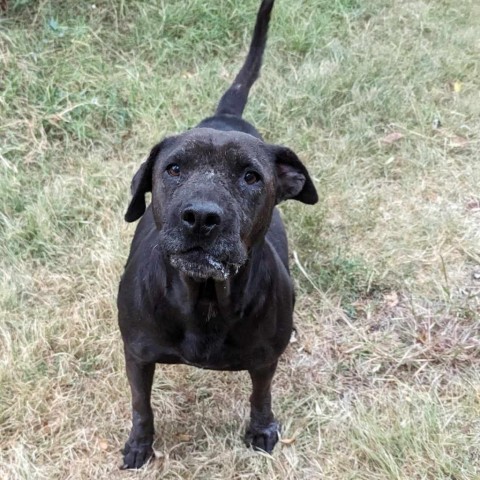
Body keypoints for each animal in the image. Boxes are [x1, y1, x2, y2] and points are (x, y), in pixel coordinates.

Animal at [117, 0, 318, 468]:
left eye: (251, 177)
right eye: (174, 168)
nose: (201, 217)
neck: (205, 299)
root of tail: (228, 117)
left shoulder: (264, 359)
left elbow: (261, 396)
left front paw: (262, 430)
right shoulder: (137, 355)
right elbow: (141, 406)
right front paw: (140, 446)